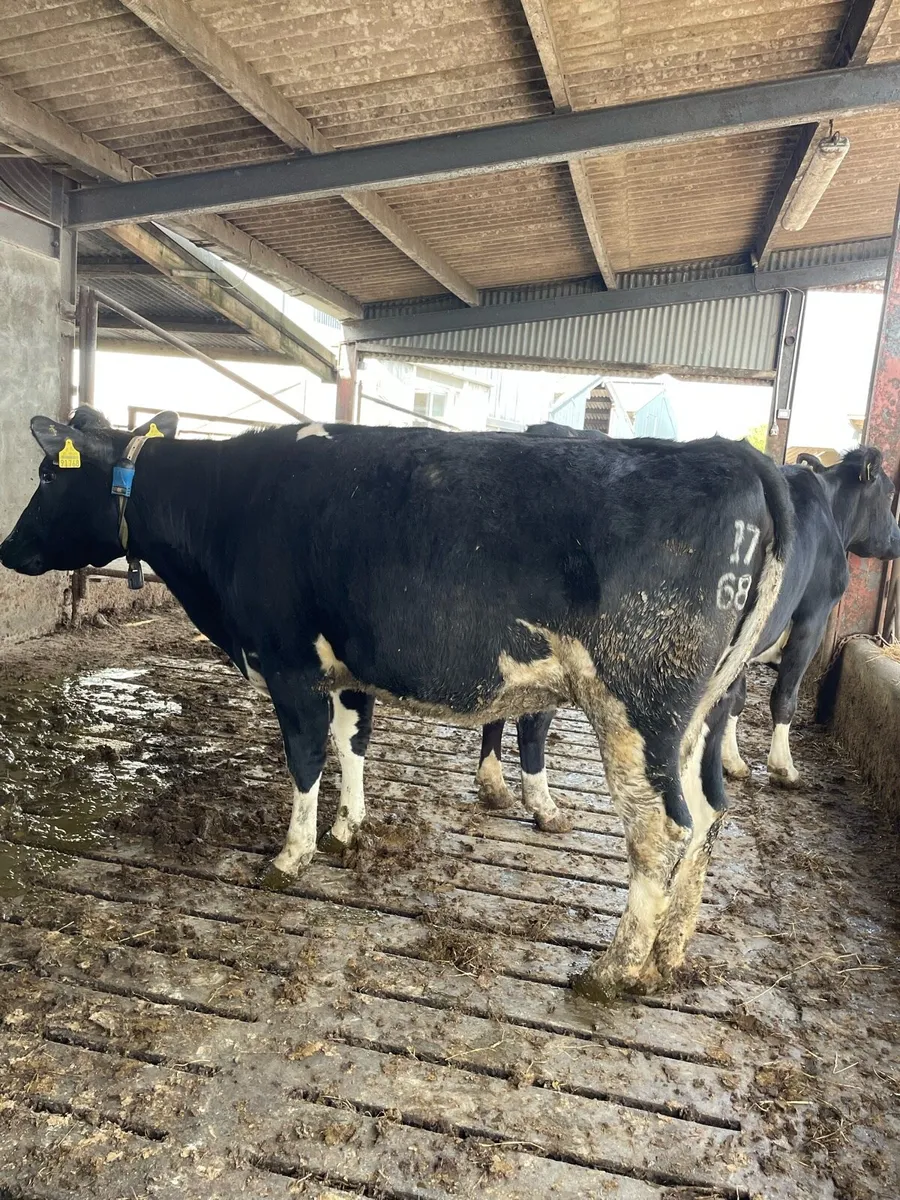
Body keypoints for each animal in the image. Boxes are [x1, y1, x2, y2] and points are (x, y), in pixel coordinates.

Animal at [0, 406, 791, 999]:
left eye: (46, 474)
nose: (8, 549)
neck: (227, 506)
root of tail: (730, 455)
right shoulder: (350, 666)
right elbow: (352, 744)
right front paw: (348, 830)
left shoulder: (288, 665)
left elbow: (304, 759)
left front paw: (290, 856)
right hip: (694, 715)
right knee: (708, 815)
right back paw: (667, 956)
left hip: (638, 705)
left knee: (662, 831)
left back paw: (615, 967)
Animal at [720, 447, 900, 787]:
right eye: (890, 493)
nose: (897, 541)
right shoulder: (814, 617)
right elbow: (784, 693)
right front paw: (783, 767)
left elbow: (735, 695)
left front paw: (732, 761)